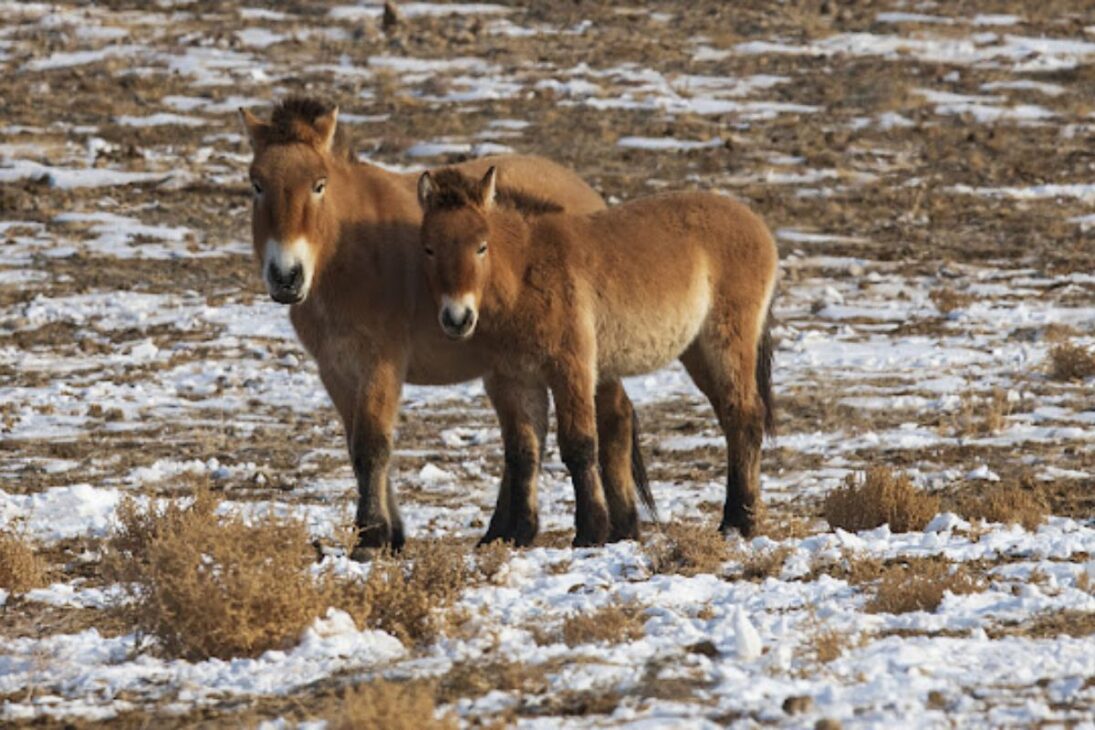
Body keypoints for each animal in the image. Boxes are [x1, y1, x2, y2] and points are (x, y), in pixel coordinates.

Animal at [239, 97, 655, 552]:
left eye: (319, 184)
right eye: (256, 184)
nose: (286, 276)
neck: (348, 253)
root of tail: (587, 195)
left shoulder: (380, 365)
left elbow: (372, 447)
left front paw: (373, 536)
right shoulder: (335, 370)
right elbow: (357, 449)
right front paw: (389, 534)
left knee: (613, 418)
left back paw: (620, 526)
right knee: (530, 438)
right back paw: (505, 530)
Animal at [417, 166, 778, 542]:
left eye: (481, 247)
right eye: (428, 249)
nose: (457, 318)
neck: (525, 274)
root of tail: (755, 223)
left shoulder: (571, 369)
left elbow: (579, 445)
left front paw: (590, 531)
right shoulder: (512, 381)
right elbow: (523, 453)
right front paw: (520, 533)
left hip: (725, 343)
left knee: (745, 416)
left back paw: (739, 521)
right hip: (697, 352)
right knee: (733, 419)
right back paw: (740, 516)